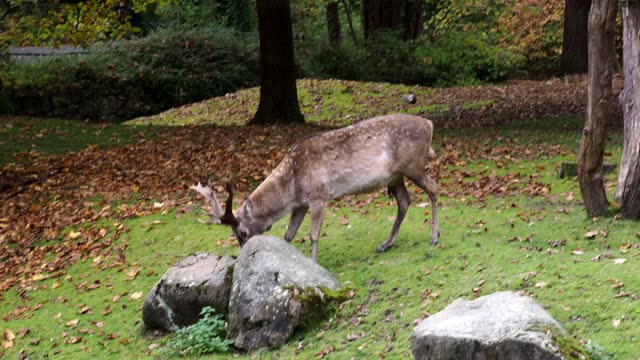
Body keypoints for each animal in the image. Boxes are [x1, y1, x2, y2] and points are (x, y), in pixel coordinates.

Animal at [191, 114, 440, 260]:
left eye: (242, 231)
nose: (244, 251)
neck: (292, 185)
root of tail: (429, 124)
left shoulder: (319, 195)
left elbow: (313, 235)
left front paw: (313, 262)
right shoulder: (300, 204)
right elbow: (289, 235)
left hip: (412, 163)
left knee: (433, 189)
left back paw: (434, 237)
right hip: (395, 176)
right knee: (404, 201)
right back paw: (386, 244)